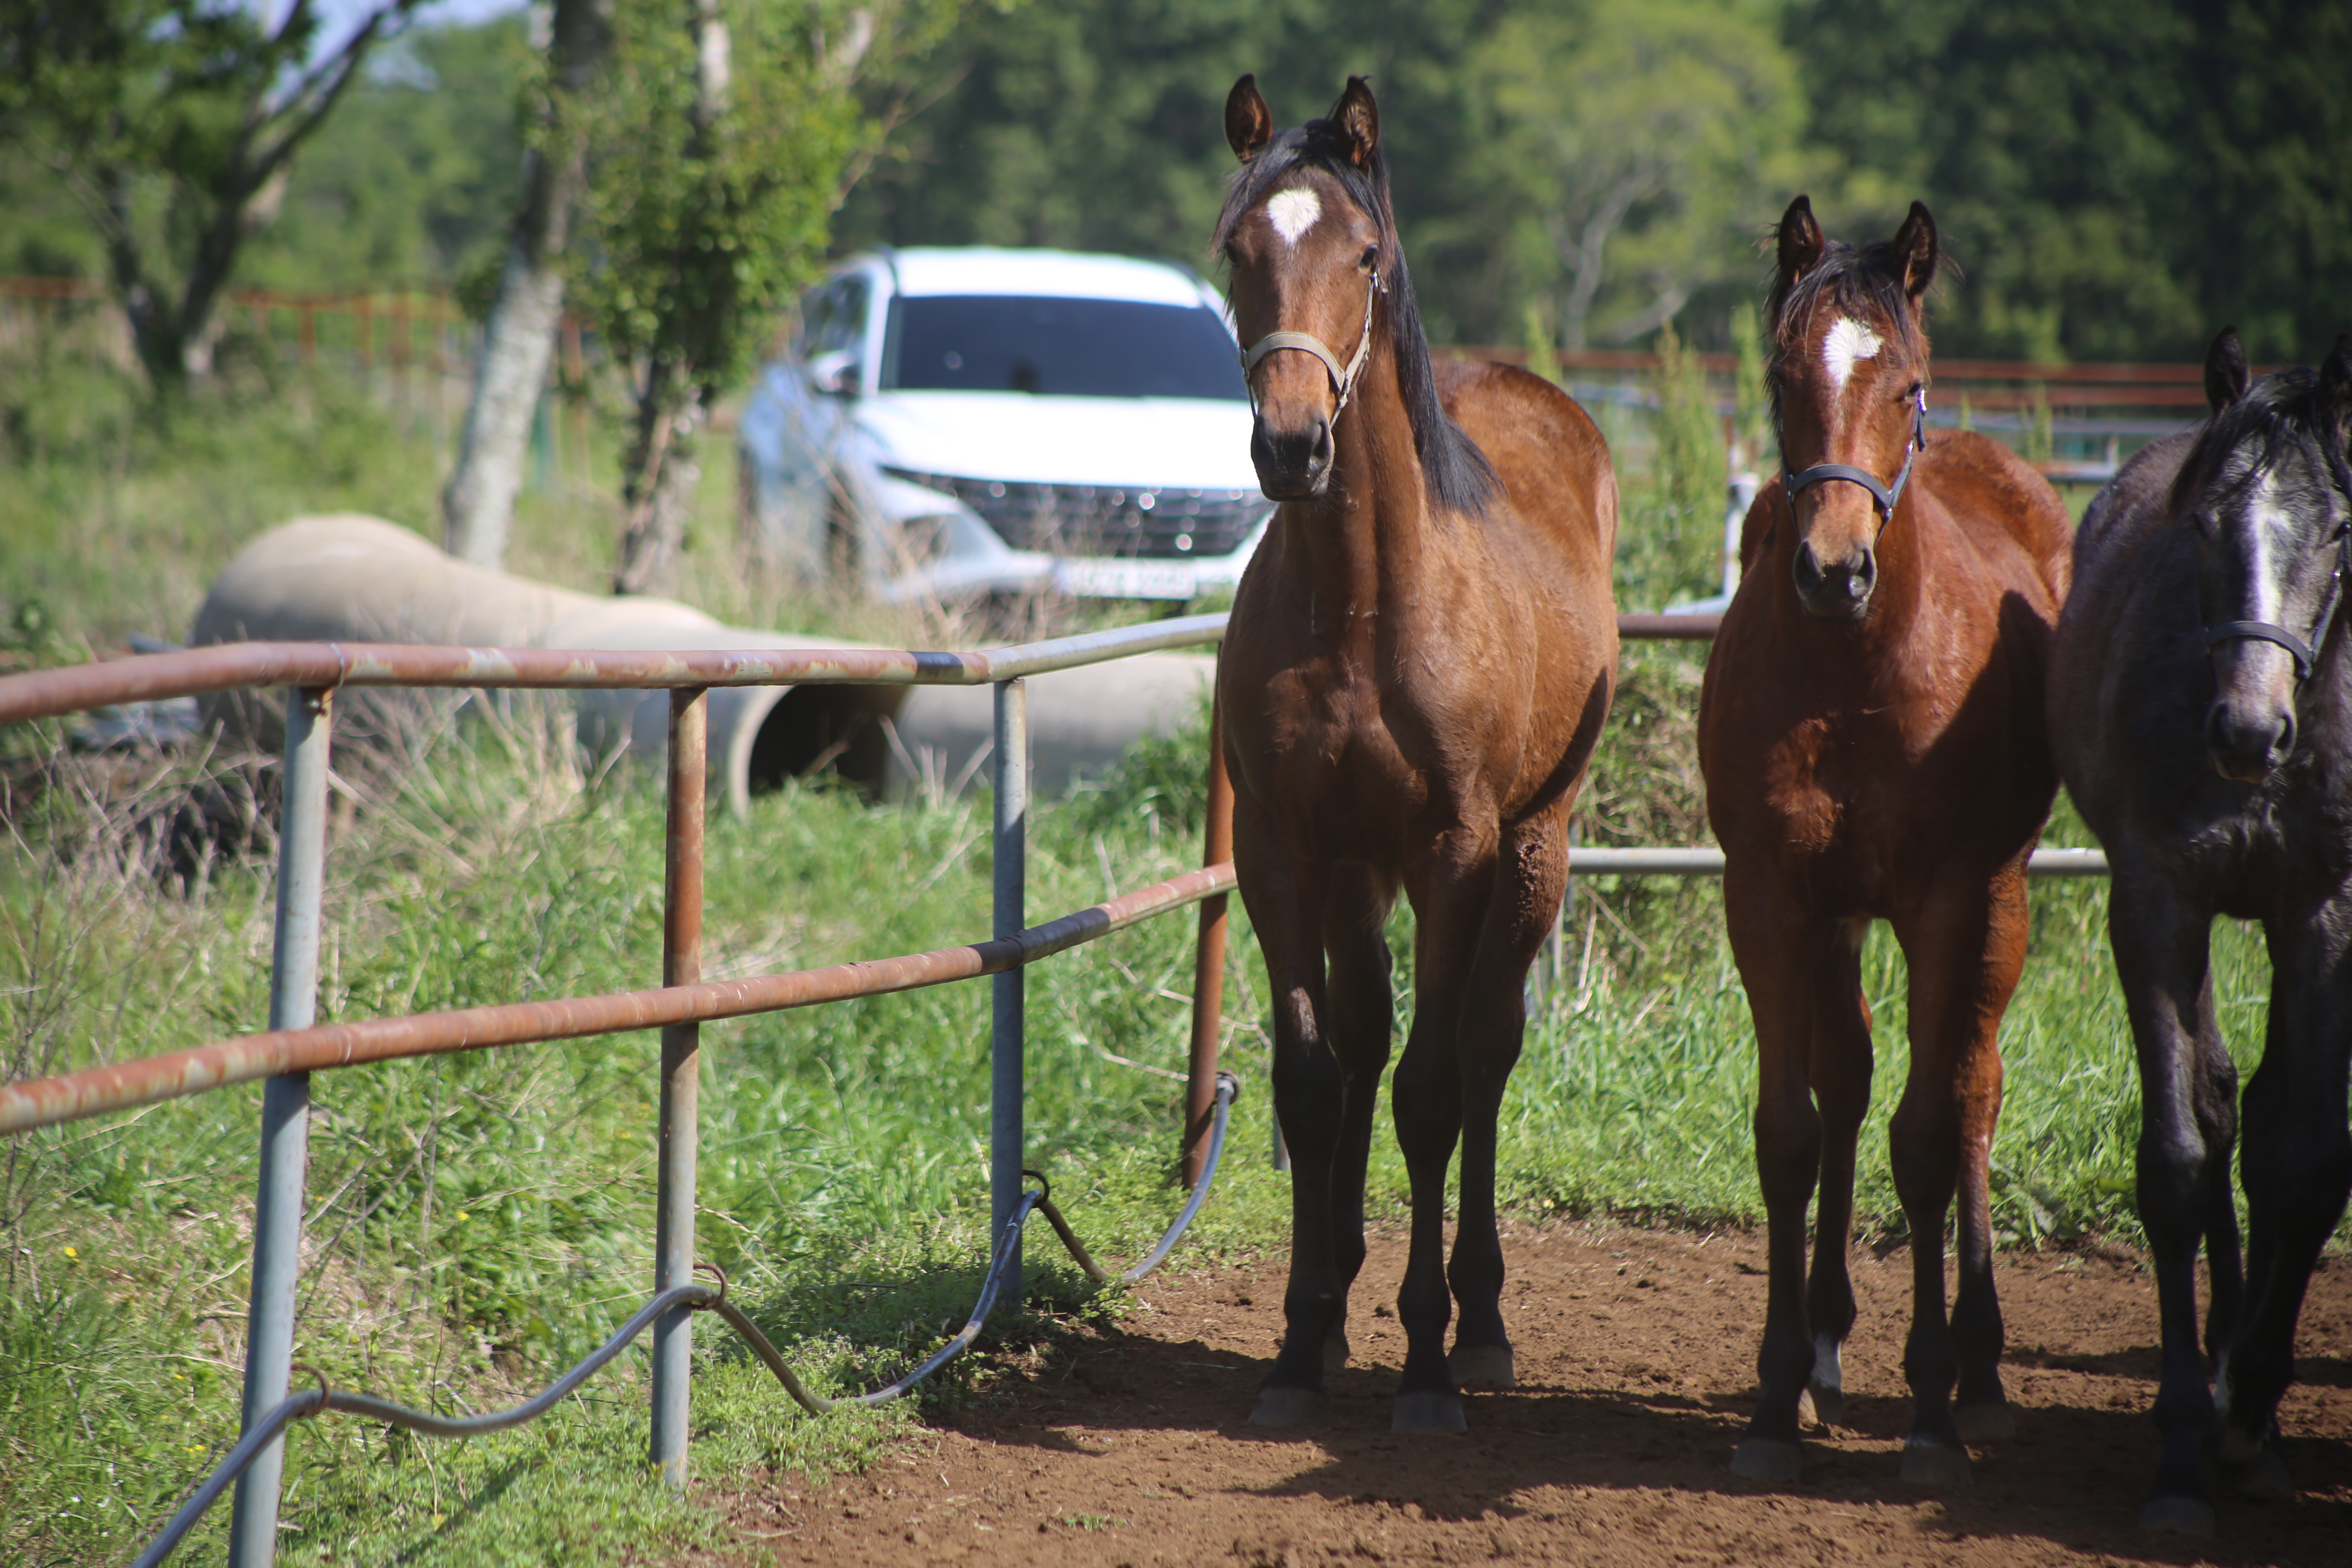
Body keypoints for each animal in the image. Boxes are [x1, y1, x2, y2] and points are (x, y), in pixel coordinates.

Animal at [1214, 80, 1618, 1439]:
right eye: (1238, 251)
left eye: (1366, 256)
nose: (1292, 445)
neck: (1361, 606)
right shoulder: (1287, 852)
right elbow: (1311, 1077)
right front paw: (1298, 1346)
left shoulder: (1455, 848)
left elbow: (1433, 1093)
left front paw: (1430, 1365)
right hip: (1357, 874)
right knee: (1363, 1039)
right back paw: (1341, 1290)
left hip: (1534, 849)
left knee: (1484, 1046)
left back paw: (1479, 1320)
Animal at [1703, 196, 2069, 1486]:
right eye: (1780, 376)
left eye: (1904, 384)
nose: (1831, 568)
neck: (1855, 672)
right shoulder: (1772, 900)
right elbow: (1791, 1129)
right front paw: (1774, 1394)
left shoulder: (1947, 902)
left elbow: (1924, 1135)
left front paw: (1927, 1410)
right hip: (1841, 919)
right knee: (1852, 1078)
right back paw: (1823, 1346)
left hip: (2001, 904)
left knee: (1972, 1087)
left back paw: (1982, 1365)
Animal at [2041, 331, 2352, 1532]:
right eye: (2203, 524)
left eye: (2340, 528)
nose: (2246, 730)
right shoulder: (2157, 898)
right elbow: (2179, 1158)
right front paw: (2182, 1446)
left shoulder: (2320, 910)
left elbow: (2304, 1160)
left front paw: (2251, 1417)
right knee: (2221, 1104)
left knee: (2262, 1122)